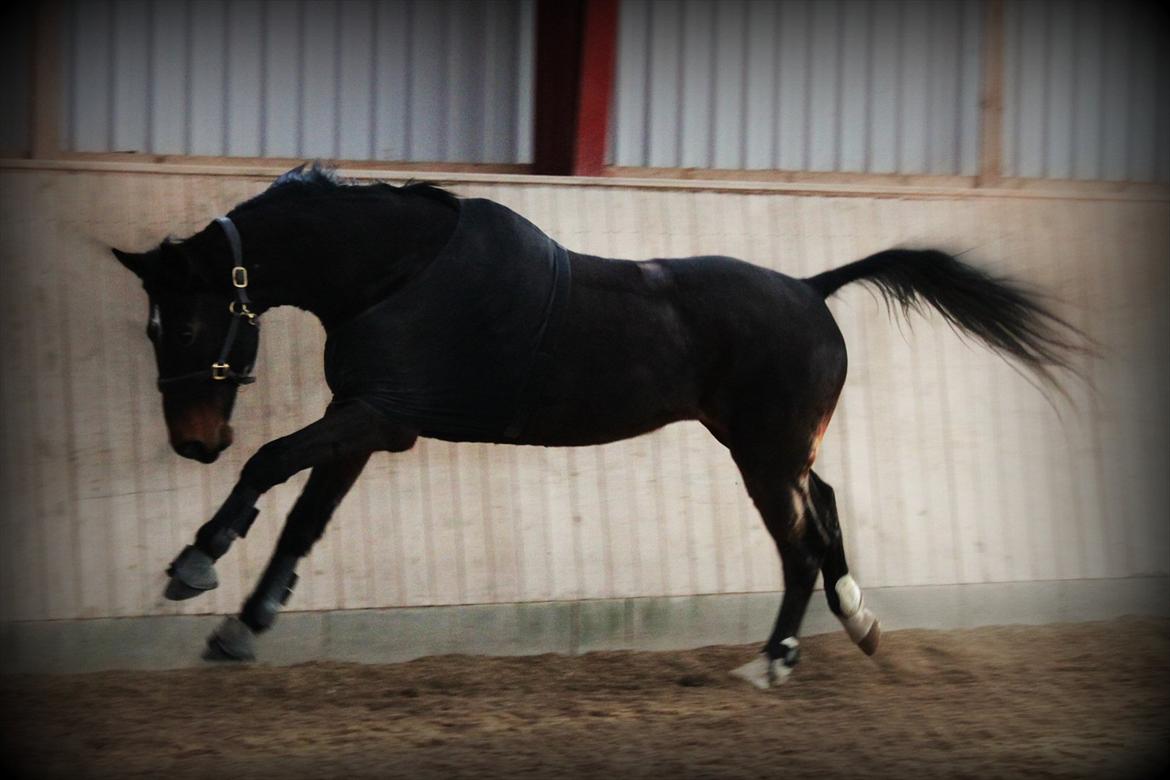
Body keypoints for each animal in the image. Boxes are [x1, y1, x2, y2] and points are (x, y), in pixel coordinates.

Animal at [112, 164, 1084, 689]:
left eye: (186, 325)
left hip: (762, 457)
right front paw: (242, 625)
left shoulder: (375, 416)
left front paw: (194, 563)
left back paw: (773, 662)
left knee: (800, 547)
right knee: (830, 510)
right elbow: (306, 518)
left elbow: (271, 465)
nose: (194, 442)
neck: (395, 273)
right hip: (773, 447)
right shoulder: (369, 423)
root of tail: (813, 290)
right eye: (154, 329)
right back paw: (860, 621)